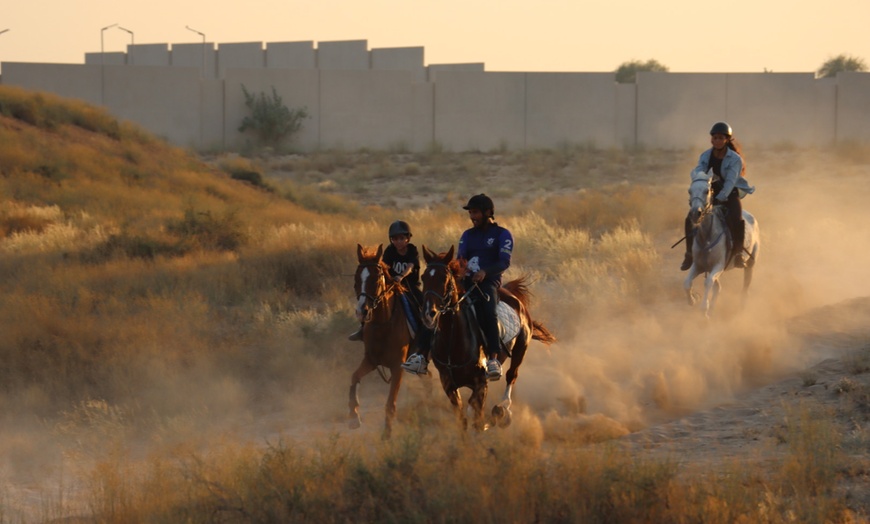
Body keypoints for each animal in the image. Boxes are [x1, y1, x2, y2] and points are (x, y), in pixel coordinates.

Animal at [350, 244, 414, 440]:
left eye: (376, 280)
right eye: (356, 279)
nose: (361, 311)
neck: (383, 324)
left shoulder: (398, 367)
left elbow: (390, 403)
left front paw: (387, 434)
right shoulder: (371, 361)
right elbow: (354, 377)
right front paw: (353, 416)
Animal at [422, 246, 560, 430]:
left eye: (444, 278)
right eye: (423, 277)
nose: (429, 313)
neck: (453, 341)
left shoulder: (481, 384)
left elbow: (477, 416)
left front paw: (494, 417)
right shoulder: (448, 384)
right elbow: (462, 419)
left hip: (521, 348)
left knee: (511, 376)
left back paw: (504, 409)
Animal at [684, 170, 760, 318]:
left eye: (707, 190)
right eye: (690, 191)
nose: (695, 213)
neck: (707, 236)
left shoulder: (719, 265)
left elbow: (708, 282)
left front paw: (704, 309)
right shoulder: (699, 265)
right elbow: (687, 283)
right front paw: (692, 300)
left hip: (750, 262)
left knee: (745, 285)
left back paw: (742, 307)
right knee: (718, 287)